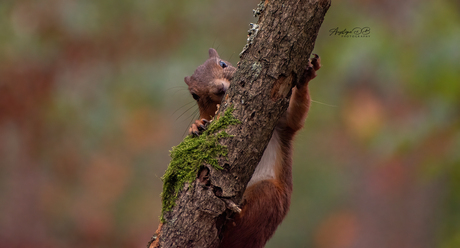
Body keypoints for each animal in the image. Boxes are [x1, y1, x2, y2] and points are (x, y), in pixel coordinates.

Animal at [183, 47, 320, 247]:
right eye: (194, 95)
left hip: (268, 195)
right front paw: (195, 125)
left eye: (222, 63)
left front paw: (306, 76)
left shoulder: (282, 123)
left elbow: (296, 117)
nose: (218, 88)